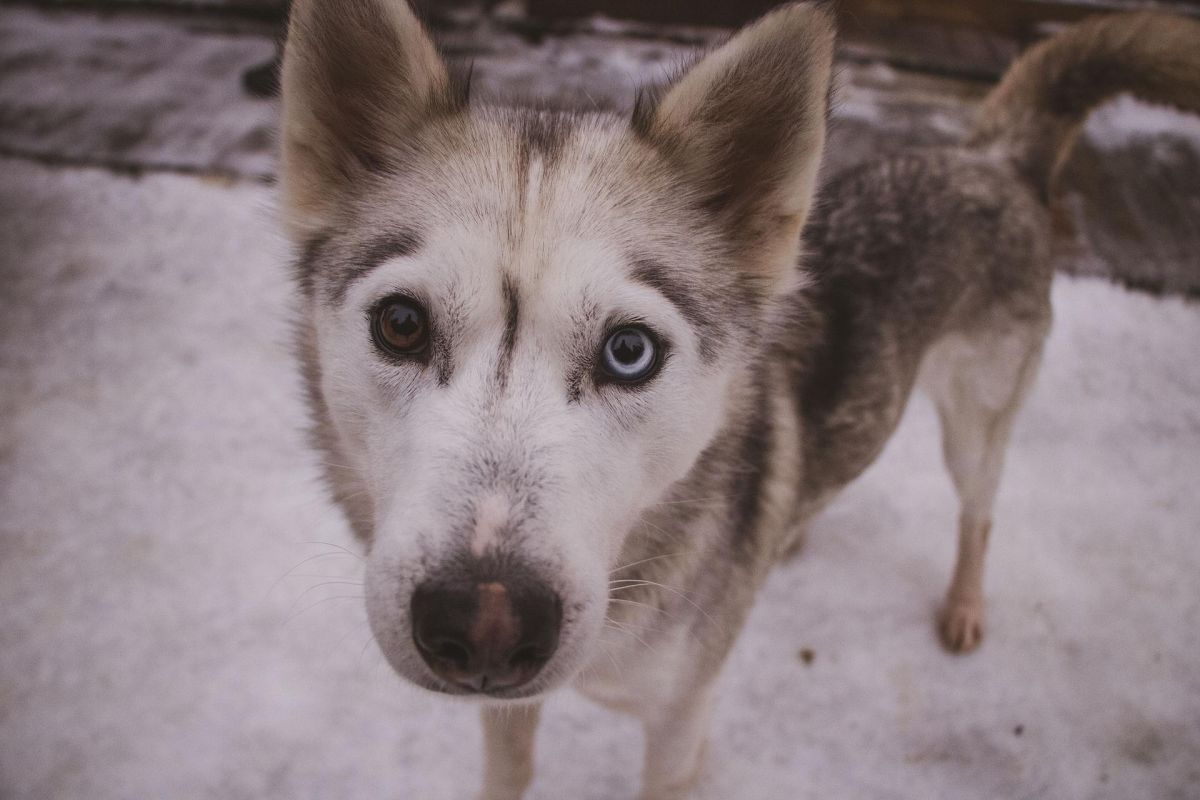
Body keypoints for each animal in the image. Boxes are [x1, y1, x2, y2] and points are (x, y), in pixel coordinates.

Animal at [278, 1, 1200, 796]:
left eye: (629, 351)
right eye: (402, 323)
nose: (486, 623)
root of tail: (991, 159)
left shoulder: (679, 723)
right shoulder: (513, 715)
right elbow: (508, 771)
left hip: (976, 424)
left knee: (979, 511)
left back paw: (964, 601)